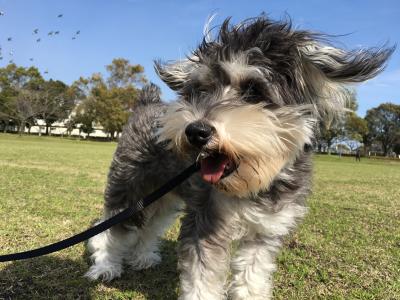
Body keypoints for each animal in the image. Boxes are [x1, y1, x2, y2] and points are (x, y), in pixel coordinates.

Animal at [85, 14, 394, 300]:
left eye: (253, 90)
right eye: (201, 90)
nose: (196, 131)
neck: (252, 185)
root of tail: (145, 104)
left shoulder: (265, 230)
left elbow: (252, 273)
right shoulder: (206, 222)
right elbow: (201, 278)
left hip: (164, 196)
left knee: (151, 226)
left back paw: (143, 257)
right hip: (129, 186)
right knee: (111, 229)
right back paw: (106, 266)